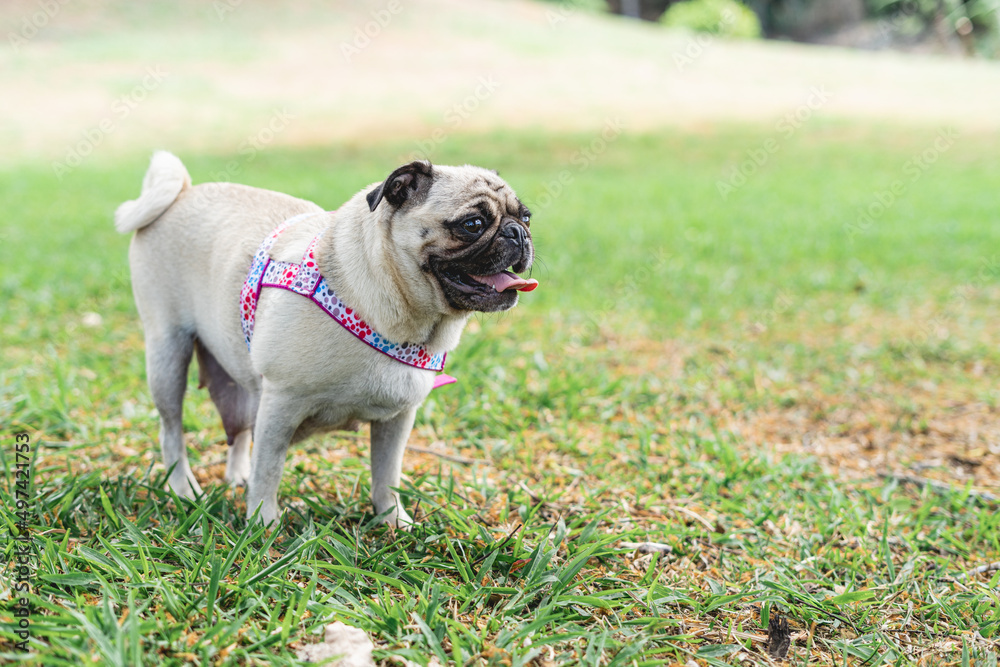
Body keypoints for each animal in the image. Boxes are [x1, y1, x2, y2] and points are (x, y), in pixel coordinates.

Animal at [116, 151, 536, 528]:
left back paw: (235, 476)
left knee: (238, 426)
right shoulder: (280, 405)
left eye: (526, 216)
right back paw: (182, 487)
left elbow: (387, 476)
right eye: (472, 223)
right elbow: (269, 471)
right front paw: (262, 525)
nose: (518, 233)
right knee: (172, 429)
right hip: (168, 353)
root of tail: (183, 193)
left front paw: (393, 522)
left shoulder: (397, 419)